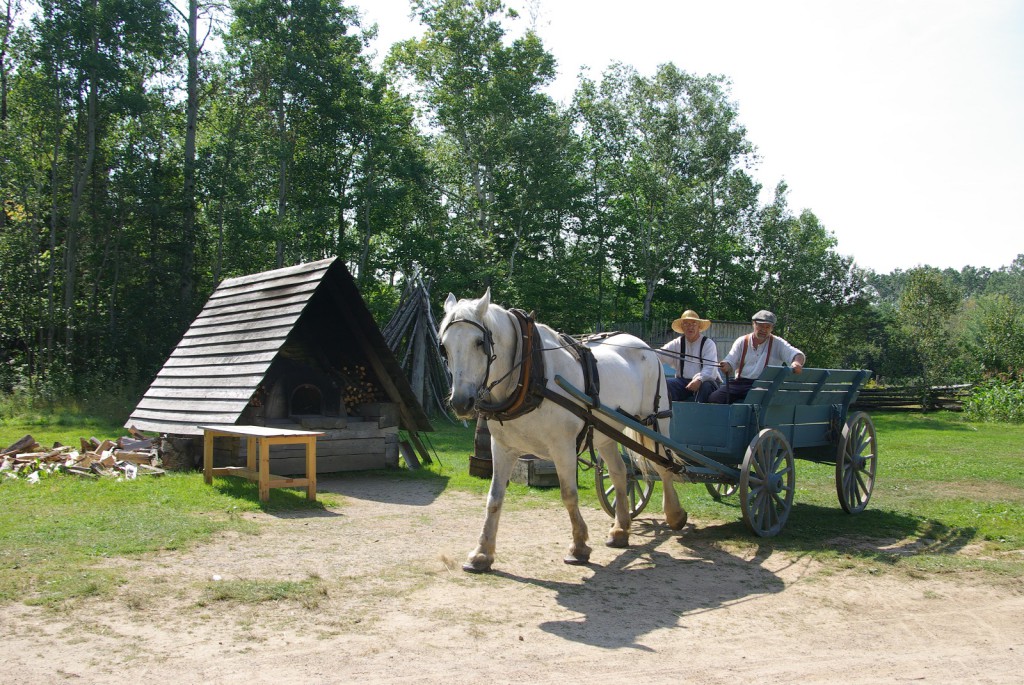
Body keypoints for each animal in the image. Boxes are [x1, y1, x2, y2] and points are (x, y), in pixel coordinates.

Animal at [440, 286, 688, 573]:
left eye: (480, 342)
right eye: (444, 347)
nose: (461, 402)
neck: (530, 375)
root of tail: (645, 346)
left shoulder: (563, 448)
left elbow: (569, 495)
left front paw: (579, 547)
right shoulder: (501, 448)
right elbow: (494, 498)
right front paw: (482, 553)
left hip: (653, 423)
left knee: (663, 465)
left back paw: (674, 514)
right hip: (606, 435)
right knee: (619, 472)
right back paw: (620, 530)